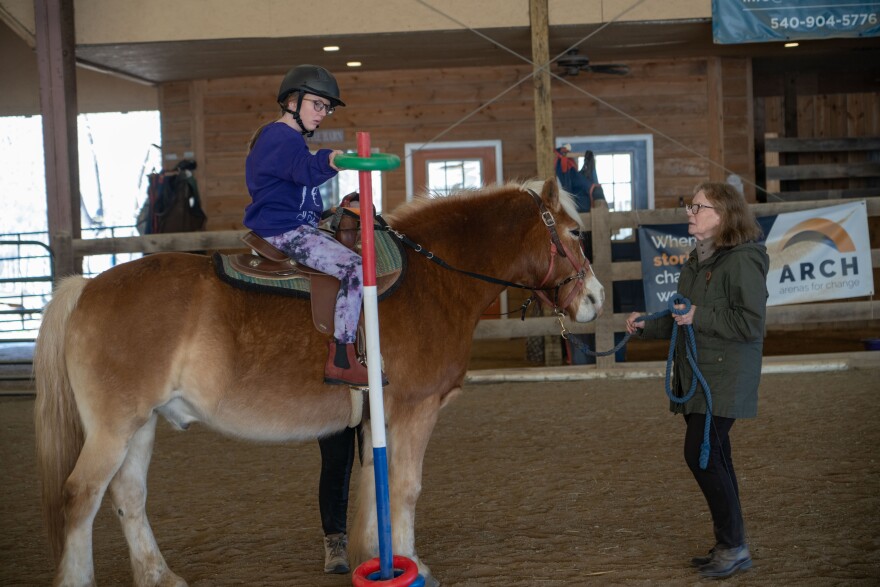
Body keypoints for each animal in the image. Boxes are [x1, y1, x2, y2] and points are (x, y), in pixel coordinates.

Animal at [32, 179, 600, 587]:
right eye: (574, 233)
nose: (594, 298)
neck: (432, 278)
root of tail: (87, 288)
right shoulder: (415, 410)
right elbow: (406, 487)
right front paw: (414, 562)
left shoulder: (377, 418)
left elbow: (375, 485)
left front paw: (378, 555)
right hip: (113, 427)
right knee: (81, 497)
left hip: (141, 423)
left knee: (128, 496)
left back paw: (158, 575)